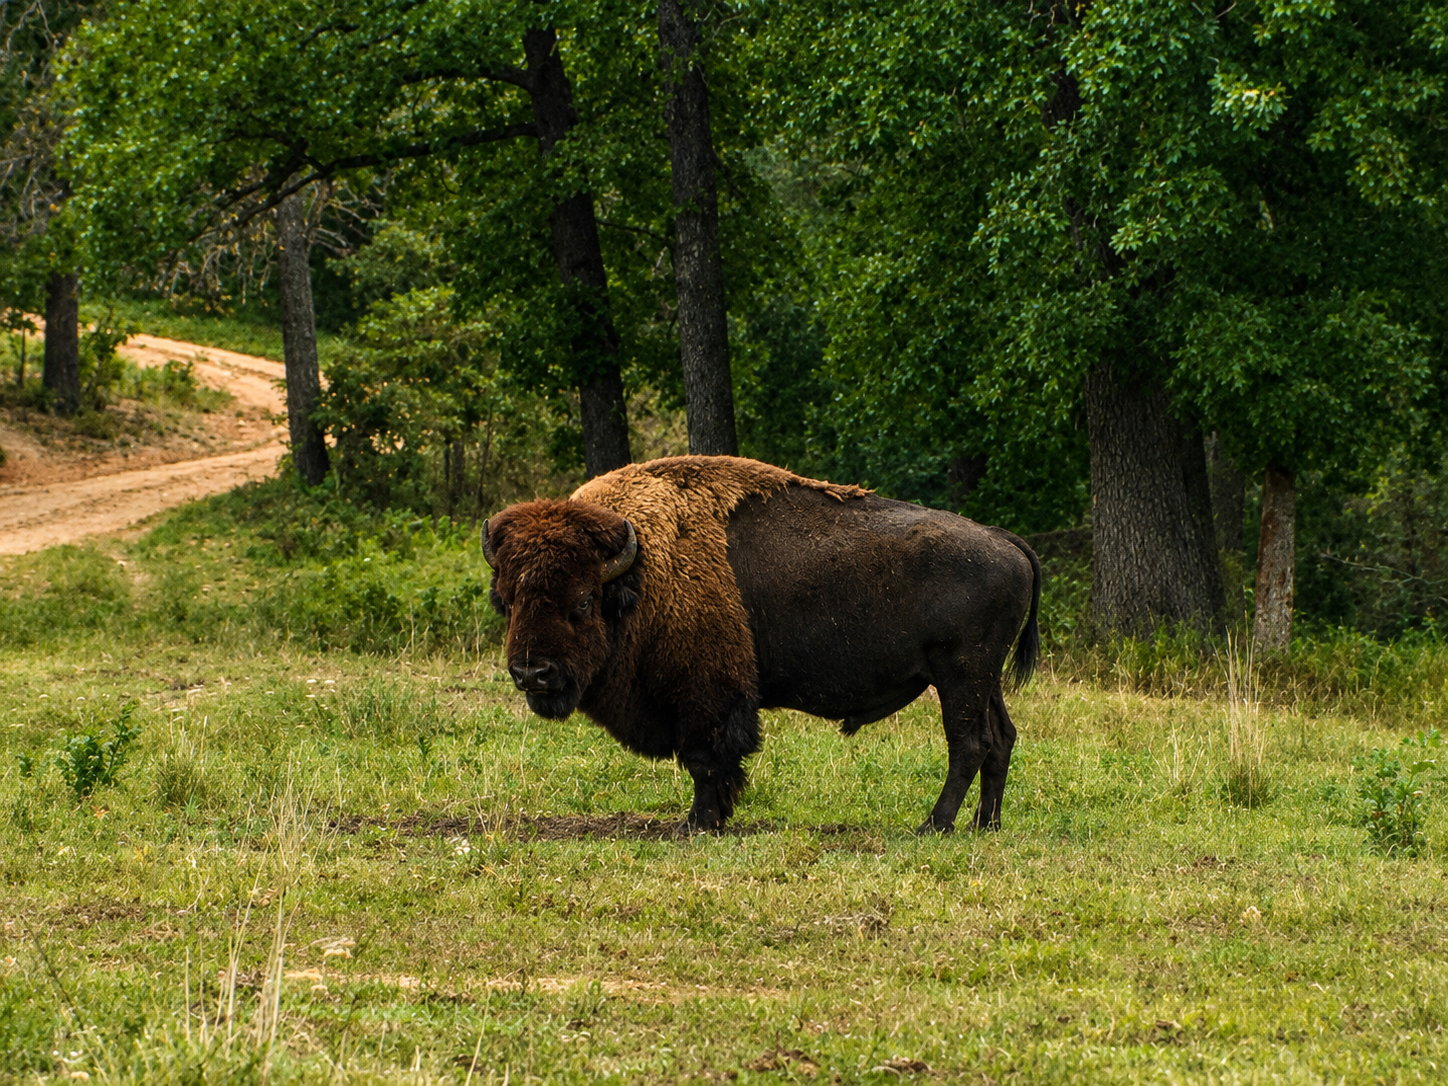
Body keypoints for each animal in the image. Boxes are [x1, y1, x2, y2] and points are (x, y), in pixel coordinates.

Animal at [482, 455, 1039, 833]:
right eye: (507, 600)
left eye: (581, 601)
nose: (532, 673)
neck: (638, 572)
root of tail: (1003, 540)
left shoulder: (706, 697)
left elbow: (707, 760)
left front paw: (698, 824)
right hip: (982, 679)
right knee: (1001, 739)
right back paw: (984, 825)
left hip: (959, 675)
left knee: (968, 744)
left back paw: (934, 825)